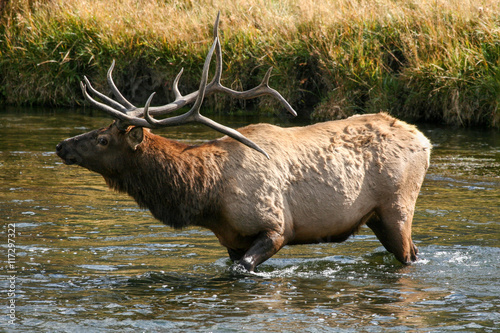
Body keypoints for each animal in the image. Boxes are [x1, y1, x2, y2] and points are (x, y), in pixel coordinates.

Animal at [54, 13, 432, 272]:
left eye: (103, 139)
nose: (62, 146)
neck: (208, 195)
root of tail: (424, 139)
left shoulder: (276, 226)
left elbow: (245, 267)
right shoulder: (231, 240)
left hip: (397, 204)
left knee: (409, 254)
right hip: (375, 217)